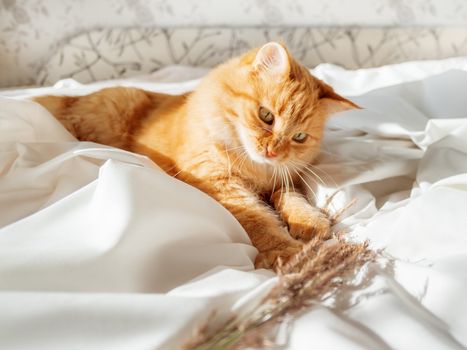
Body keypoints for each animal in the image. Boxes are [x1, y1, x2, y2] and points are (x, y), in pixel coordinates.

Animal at [34, 42, 358, 270]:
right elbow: (260, 221)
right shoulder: (220, 181)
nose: (272, 151)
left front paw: (310, 223)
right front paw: (288, 254)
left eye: (299, 137)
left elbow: (292, 199)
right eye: (266, 116)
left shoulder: (281, 181)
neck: (253, 167)